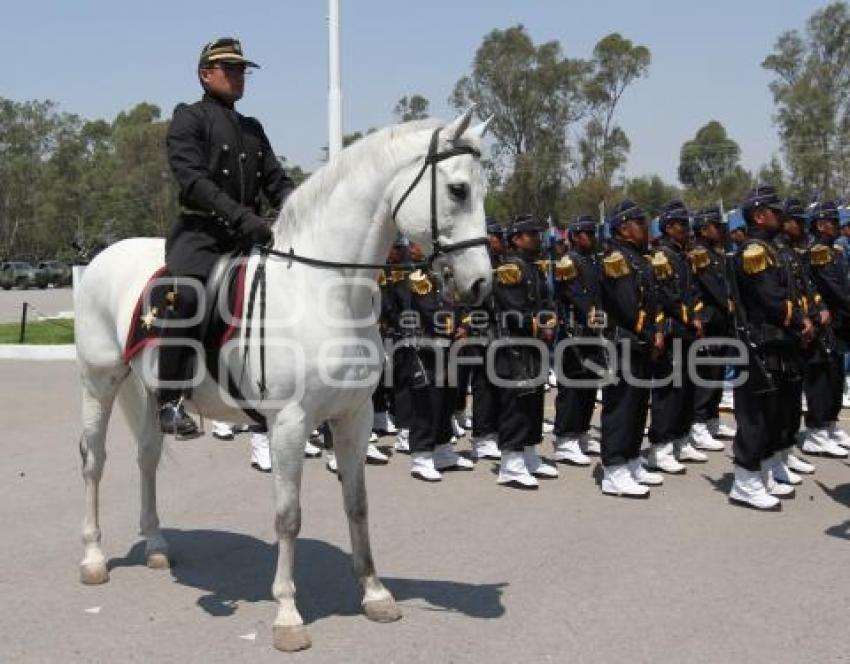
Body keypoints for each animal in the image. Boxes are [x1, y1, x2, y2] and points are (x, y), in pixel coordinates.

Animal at [76, 110, 494, 652]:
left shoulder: (354, 417)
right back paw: (93, 558)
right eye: (459, 189)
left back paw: (156, 545)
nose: (481, 283)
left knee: (146, 458)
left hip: (148, 394)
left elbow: (357, 503)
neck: (323, 289)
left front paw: (375, 593)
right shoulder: (291, 424)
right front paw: (288, 615)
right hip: (99, 382)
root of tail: (103, 257)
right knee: (94, 462)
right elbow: (288, 516)